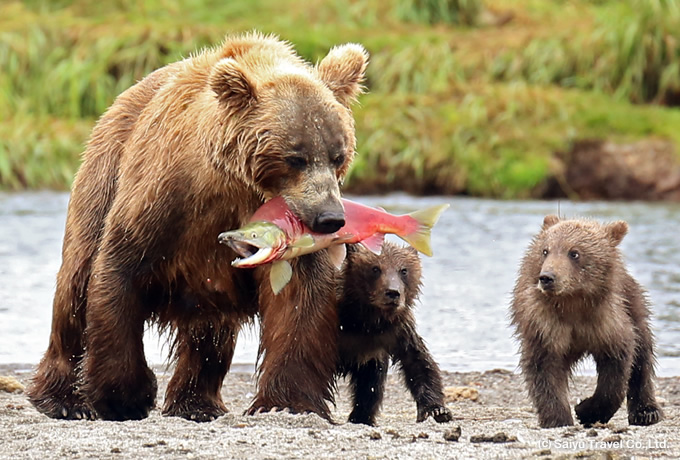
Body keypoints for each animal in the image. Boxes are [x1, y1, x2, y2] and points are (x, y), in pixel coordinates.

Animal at [26, 30, 370, 422]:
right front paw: (125, 395)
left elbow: (298, 298)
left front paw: (289, 401)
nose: (330, 217)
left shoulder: (285, 231)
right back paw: (61, 399)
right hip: (102, 175)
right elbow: (119, 270)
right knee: (75, 285)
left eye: (338, 155)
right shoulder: (166, 198)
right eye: (295, 157)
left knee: (209, 331)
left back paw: (197, 404)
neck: (236, 187)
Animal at [334, 243, 452, 426]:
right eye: (375, 268)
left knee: (371, 384)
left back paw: (362, 417)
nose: (393, 292)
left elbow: (418, 363)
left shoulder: (398, 331)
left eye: (403, 270)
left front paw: (437, 410)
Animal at [512, 215, 660, 428]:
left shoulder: (607, 321)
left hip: (633, 300)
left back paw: (647, 412)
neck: (573, 302)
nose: (547, 277)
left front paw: (586, 410)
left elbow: (618, 366)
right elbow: (543, 368)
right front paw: (558, 418)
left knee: (643, 352)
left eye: (574, 252)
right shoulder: (544, 324)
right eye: (545, 250)